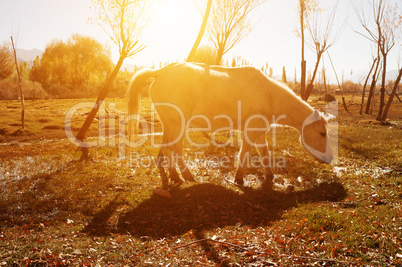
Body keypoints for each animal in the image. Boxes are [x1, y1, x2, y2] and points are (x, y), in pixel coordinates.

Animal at [126, 62, 332, 188]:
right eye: (322, 133)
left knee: (168, 147)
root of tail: (160, 71)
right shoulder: (251, 130)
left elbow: (264, 153)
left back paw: (175, 175)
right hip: (178, 124)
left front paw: (270, 176)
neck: (269, 95)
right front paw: (239, 178)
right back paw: (186, 175)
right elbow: (245, 153)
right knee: (174, 148)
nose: (329, 159)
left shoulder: (259, 131)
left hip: (169, 123)